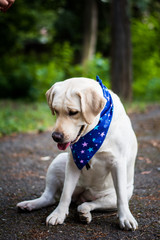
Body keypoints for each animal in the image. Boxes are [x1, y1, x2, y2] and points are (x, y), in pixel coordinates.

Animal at [17, 77, 138, 231]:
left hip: (112, 197)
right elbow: (65, 194)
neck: (94, 128)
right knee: (50, 197)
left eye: (73, 112)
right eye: (55, 111)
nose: (56, 136)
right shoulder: (73, 161)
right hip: (58, 162)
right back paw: (29, 204)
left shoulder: (118, 163)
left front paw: (126, 218)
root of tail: (81, 196)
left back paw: (84, 213)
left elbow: (121, 197)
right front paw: (59, 214)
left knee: (91, 204)